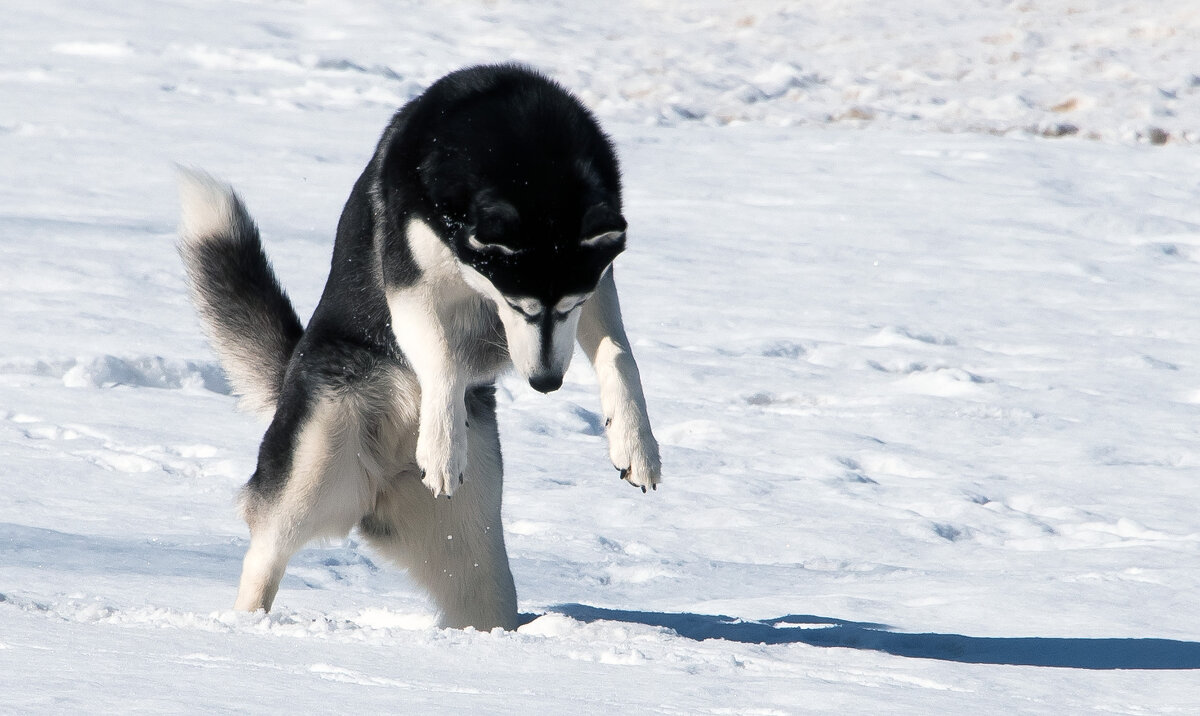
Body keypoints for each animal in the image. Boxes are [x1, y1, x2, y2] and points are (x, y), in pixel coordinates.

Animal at [176, 64, 662, 628]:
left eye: (569, 306)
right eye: (517, 305)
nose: (546, 383)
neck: (526, 153)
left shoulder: (596, 280)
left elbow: (619, 355)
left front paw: (635, 443)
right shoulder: (409, 280)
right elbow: (444, 359)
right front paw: (442, 445)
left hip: (471, 547)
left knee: (481, 593)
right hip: (315, 464)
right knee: (268, 548)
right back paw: (247, 623)